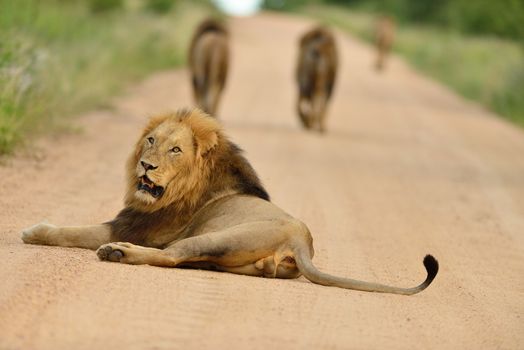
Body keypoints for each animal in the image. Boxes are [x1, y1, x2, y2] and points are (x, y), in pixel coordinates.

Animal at [20, 109, 438, 296]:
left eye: (175, 149)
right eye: (151, 140)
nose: (146, 165)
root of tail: (302, 242)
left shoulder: (132, 226)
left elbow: (72, 231)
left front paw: (33, 230)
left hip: (212, 237)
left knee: (170, 257)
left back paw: (117, 253)